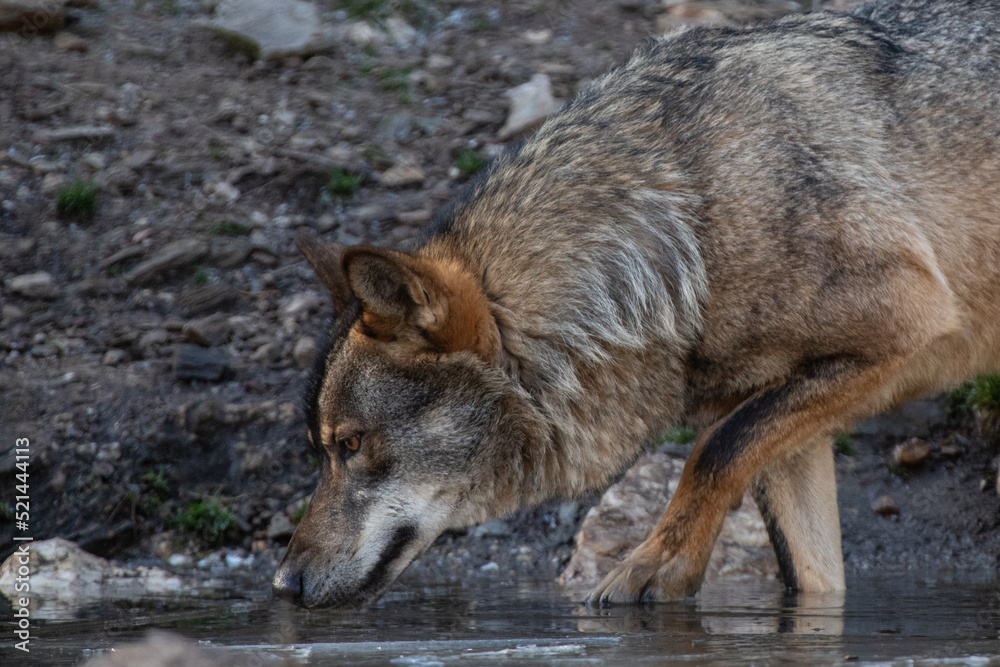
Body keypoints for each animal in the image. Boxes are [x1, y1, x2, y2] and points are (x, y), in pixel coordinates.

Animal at [273, 0, 1000, 608]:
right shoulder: (789, 426)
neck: (684, 225)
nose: (283, 584)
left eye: (351, 445)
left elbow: (713, 451)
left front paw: (655, 567)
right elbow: (809, 578)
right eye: (322, 450)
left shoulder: (911, 329)